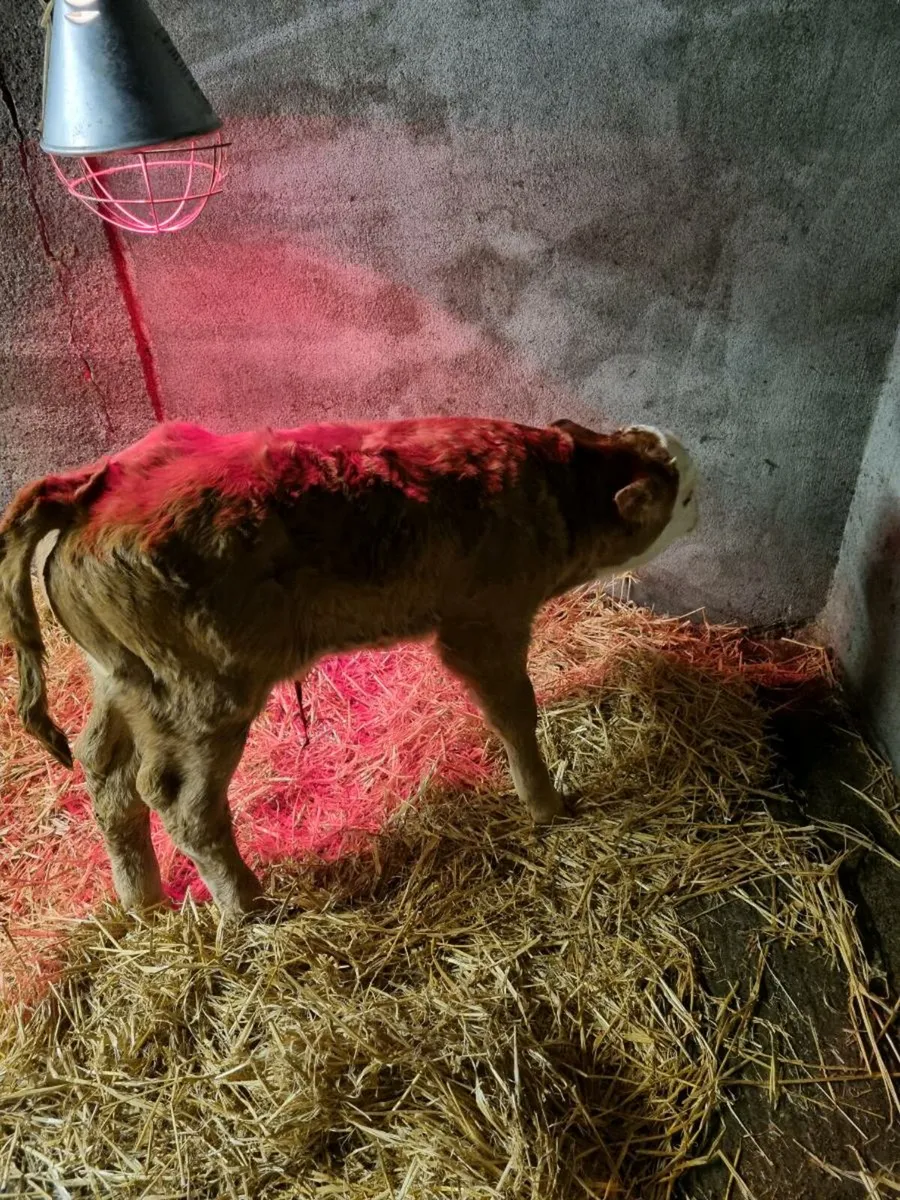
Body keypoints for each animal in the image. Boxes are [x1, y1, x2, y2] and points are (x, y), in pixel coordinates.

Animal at [0, 417, 698, 915]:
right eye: (683, 494)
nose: (703, 492)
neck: (553, 488)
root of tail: (93, 489)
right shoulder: (484, 624)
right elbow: (515, 715)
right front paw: (547, 804)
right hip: (203, 694)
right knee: (178, 798)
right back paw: (248, 907)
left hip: (127, 680)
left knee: (105, 771)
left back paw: (144, 905)